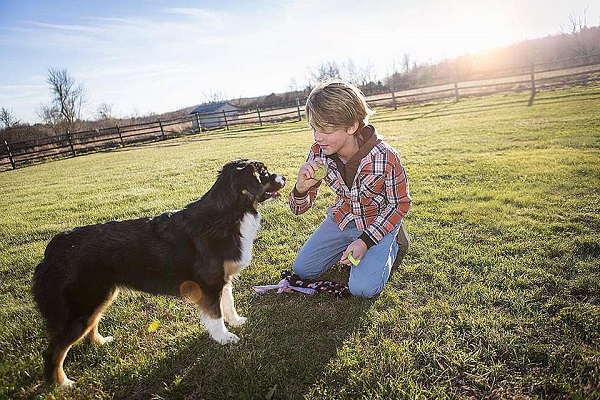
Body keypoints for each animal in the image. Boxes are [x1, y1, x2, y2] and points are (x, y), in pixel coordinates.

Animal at [32, 159, 286, 388]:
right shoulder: (210, 283)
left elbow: (229, 304)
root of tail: (53, 249)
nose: (284, 177)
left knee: (91, 326)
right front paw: (224, 338)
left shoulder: (224, 280)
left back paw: (101, 342)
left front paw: (236, 322)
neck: (231, 211)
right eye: (263, 173)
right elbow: (215, 314)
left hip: (100, 297)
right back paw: (62, 383)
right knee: (54, 351)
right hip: (81, 306)